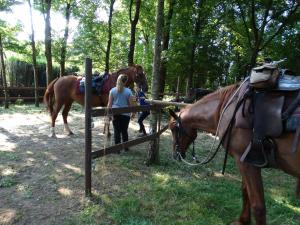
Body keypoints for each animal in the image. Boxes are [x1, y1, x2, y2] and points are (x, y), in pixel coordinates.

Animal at [169, 83, 300, 225]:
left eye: (174, 128)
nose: (175, 155)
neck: (226, 110)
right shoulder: (246, 162)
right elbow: (245, 192)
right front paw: (243, 220)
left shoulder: (246, 163)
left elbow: (258, 206)